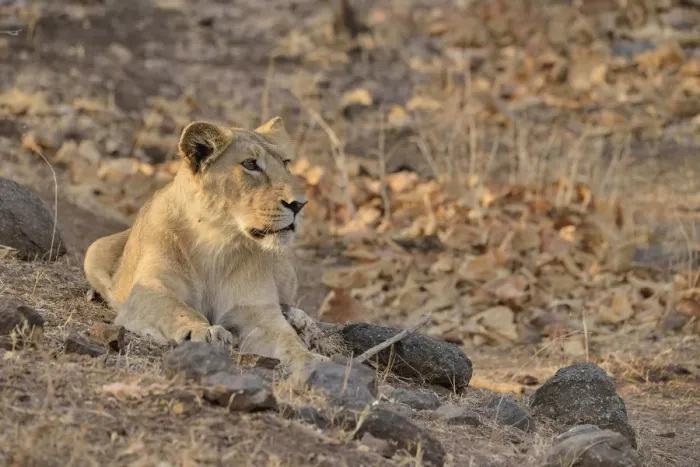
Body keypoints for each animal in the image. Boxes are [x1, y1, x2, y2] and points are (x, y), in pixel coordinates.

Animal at [83, 116, 324, 366]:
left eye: (286, 163)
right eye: (250, 164)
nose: (300, 204)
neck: (217, 241)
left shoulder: (256, 310)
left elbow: (287, 340)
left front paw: (311, 359)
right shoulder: (151, 289)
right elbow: (178, 309)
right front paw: (206, 332)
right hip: (96, 249)